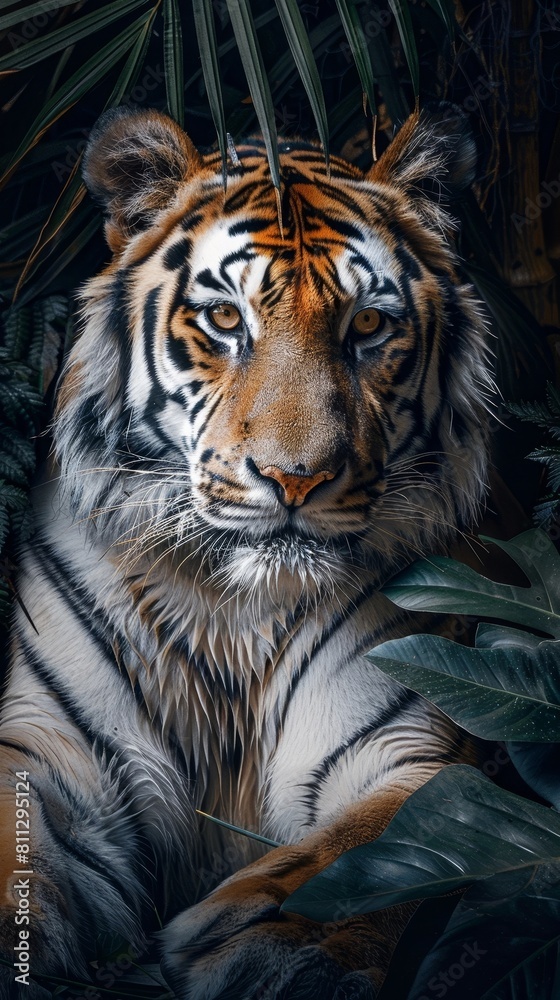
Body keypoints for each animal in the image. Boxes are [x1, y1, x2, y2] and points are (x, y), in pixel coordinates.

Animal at [0, 104, 492, 1000]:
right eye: (226, 320)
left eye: (368, 325)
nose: (296, 478)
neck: (230, 606)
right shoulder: (50, 752)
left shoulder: (414, 747)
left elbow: (383, 847)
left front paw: (283, 945)